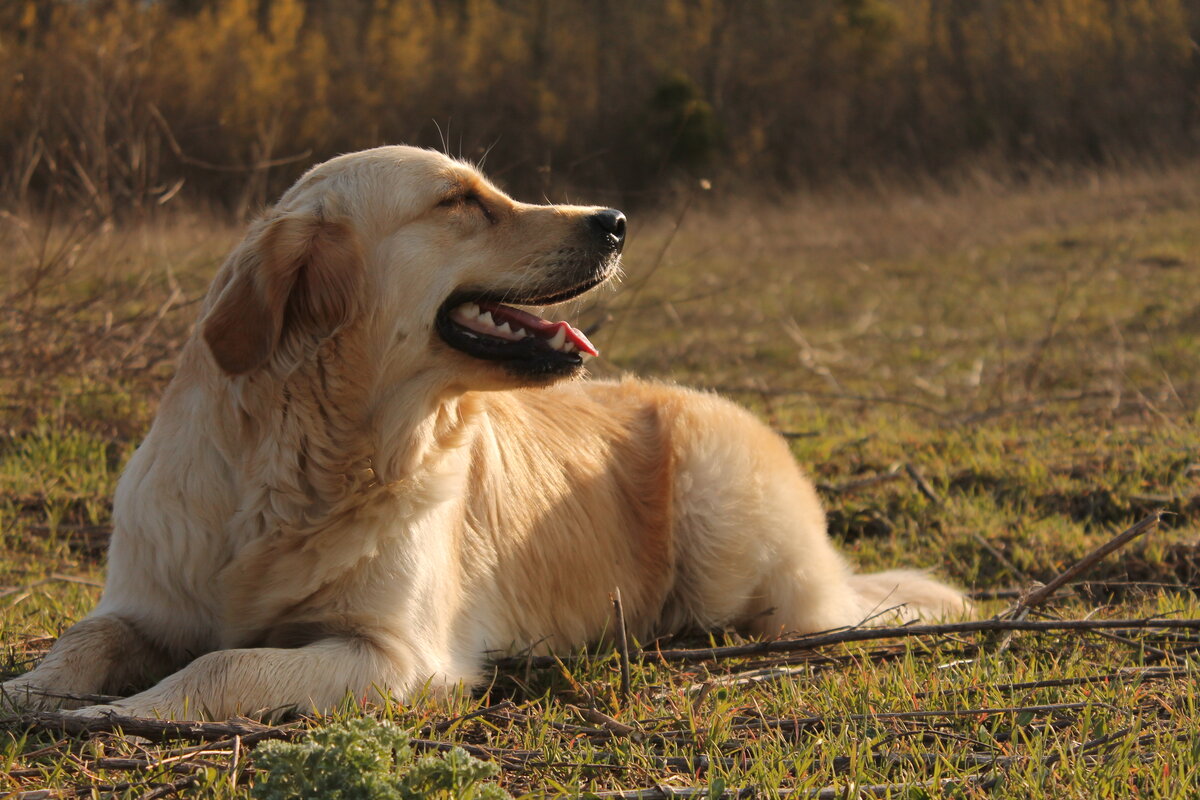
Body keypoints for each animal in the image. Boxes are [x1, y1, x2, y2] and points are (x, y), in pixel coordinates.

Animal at [0, 146, 964, 724]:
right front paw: (28, 692)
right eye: (462, 201)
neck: (302, 463)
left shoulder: (392, 654)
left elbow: (226, 666)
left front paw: (118, 711)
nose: (616, 222)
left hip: (726, 527)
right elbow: (84, 640)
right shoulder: (143, 602)